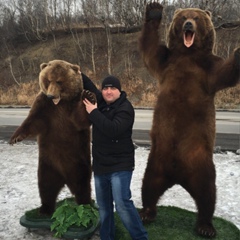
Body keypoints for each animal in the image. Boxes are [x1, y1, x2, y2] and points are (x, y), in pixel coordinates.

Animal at [9, 59, 95, 216]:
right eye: (48, 80)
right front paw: (15, 138)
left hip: (80, 164)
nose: (51, 96)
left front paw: (89, 96)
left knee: (83, 185)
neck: (59, 104)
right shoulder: (44, 107)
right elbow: (32, 121)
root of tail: (65, 179)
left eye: (59, 81)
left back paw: (86, 204)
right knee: (46, 186)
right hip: (47, 164)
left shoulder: (71, 106)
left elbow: (80, 119)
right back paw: (45, 209)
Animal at [139, 1, 240, 238]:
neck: (187, 54)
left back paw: (206, 227)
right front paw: (155, 10)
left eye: (196, 17)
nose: (188, 24)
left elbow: (226, 72)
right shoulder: (168, 62)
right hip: (156, 160)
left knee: (207, 194)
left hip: (200, 162)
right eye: (184, 16)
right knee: (148, 185)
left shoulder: (208, 69)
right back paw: (146, 212)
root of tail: (177, 177)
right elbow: (150, 52)